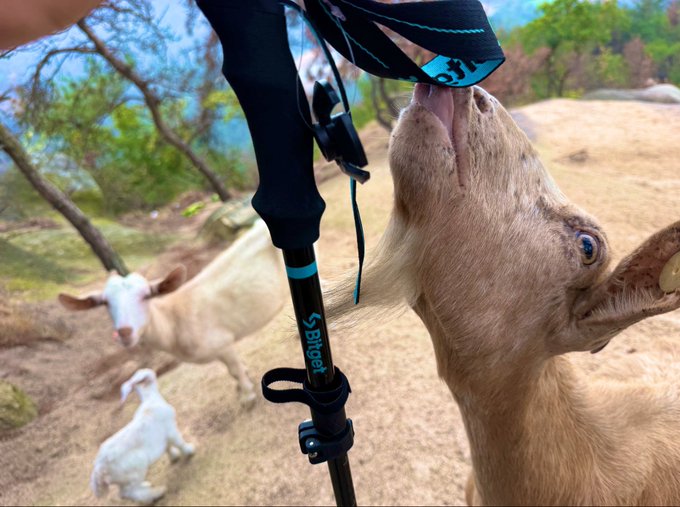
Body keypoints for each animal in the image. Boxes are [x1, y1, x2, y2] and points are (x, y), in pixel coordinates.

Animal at [59, 219, 289, 407]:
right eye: (105, 303)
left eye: (145, 296)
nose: (124, 332)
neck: (174, 321)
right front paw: (242, 387)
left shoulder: (222, 343)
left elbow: (234, 370)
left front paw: (247, 398)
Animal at [90, 368, 194, 504]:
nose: (153, 372)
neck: (150, 400)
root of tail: (99, 469)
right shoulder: (171, 429)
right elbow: (179, 443)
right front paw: (190, 450)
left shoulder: (162, 436)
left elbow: (167, 447)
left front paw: (174, 457)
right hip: (136, 468)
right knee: (129, 493)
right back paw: (157, 493)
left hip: (126, 478)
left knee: (127, 491)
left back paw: (146, 485)